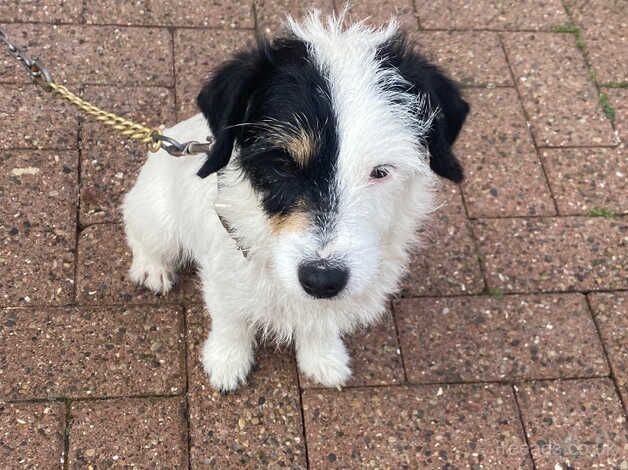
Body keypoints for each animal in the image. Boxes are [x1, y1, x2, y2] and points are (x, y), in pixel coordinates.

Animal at [122, 12, 468, 392]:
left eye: (380, 171)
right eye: (283, 163)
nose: (322, 280)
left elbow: (321, 324)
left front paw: (322, 358)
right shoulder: (225, 271)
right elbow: (230, 319)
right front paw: (227, 361)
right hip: (157, 219)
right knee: (138, 232)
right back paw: (152, 268)